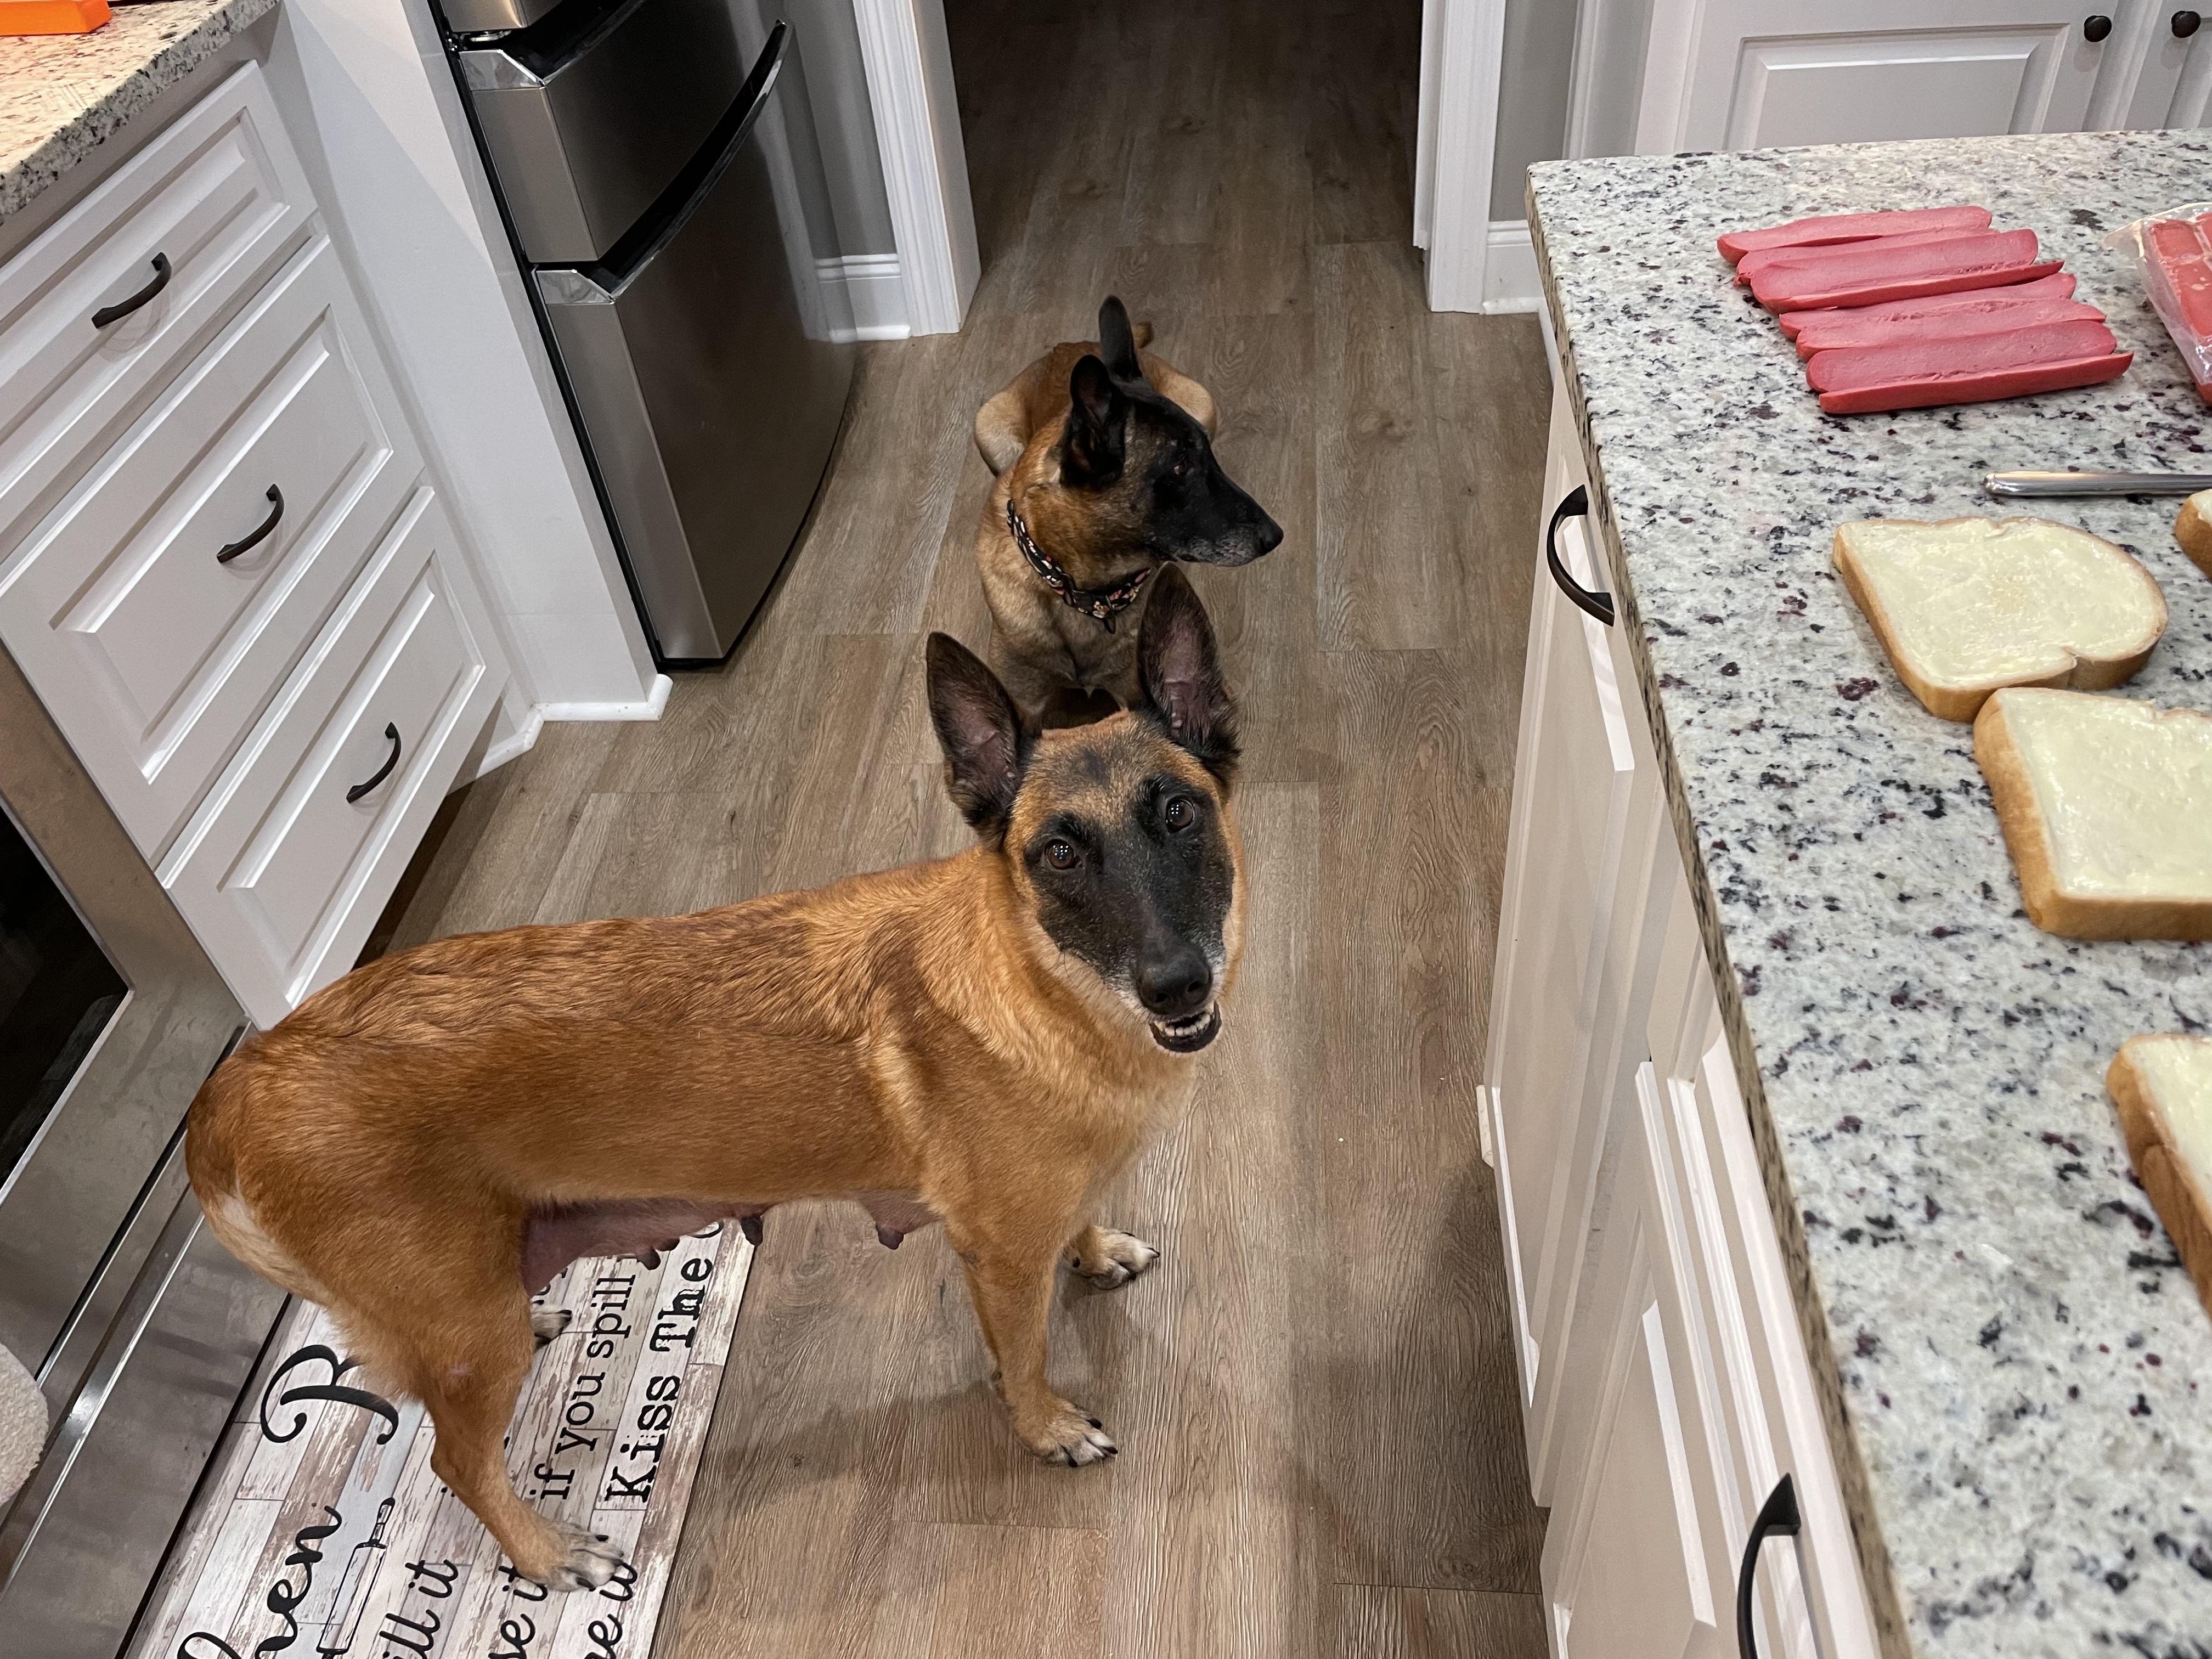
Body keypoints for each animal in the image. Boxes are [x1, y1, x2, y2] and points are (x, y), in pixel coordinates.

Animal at [185, 567, 1247, 1593]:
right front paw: (1047, 1426)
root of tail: (244, 1074)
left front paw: (1097, 1248)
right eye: (1059, 853)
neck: (1043, 979)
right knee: (458, 1460)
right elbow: (1024, 1359)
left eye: (1180, 813)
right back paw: (546, 1553)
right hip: (465, 1336)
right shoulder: (1002, 1259)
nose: (1178, 984)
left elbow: (1081, 1218)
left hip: (472, 1307)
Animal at [973, 296, 1280, 727]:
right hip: (988, 426)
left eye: (1208, 457)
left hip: (1202, 399)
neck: (1084, 592)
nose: (1276, 537)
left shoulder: (1136, 694)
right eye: (1181, 467)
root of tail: (1073, 343)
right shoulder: (1022, 703)